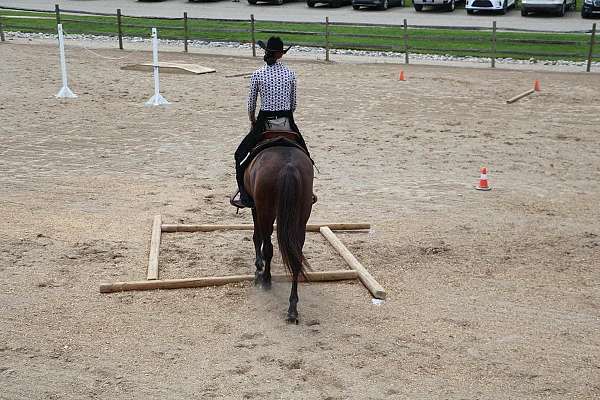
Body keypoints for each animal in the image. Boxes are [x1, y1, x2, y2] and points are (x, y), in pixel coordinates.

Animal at [244, 142, 314, 324]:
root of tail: (289, 166)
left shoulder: (256, 207)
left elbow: (258, 237)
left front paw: (258, 266)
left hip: (265, 210)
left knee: (268, 246)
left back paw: (266, 279)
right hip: (301, 217)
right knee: (296, 258)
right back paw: (292, 308)